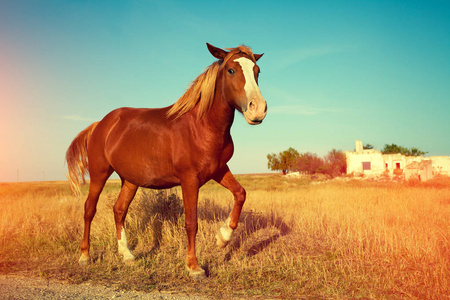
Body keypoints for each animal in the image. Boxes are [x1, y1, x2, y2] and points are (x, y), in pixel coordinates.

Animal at [66, 43, 268, 280]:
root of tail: (100, 124)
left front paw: (223, 238)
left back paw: (127, 255)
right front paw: (194, 267)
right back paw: (85, 256)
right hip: (99, 173)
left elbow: (240, 194)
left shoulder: (218, 170)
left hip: (130, 180)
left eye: (257, 71)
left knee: (119, 210)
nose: (258, 109)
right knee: (89, 209)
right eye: (231, 70)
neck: (201, 126)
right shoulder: (189, 180)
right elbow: (191, 223)